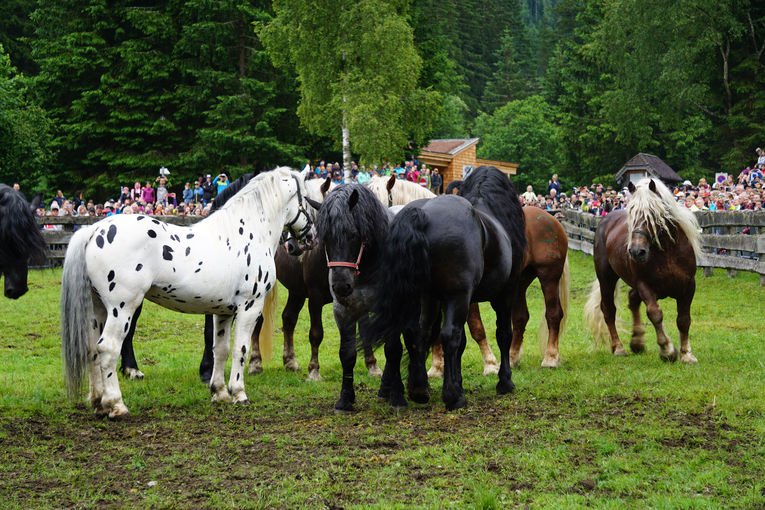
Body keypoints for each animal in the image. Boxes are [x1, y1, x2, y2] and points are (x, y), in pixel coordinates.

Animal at [59, 167, 316, 418]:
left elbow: (220, 350)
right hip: (122, 309)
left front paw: (219, 392)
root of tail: (94, 230)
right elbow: (240, 350)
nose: (310, 238)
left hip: (98, 309)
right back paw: (116, 404)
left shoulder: (223, 312)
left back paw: (98, 403)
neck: (245, 232)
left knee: (92, 349)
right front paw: (239, 393)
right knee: (109, 348)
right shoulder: (249, 307)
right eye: (307, 198)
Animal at [368, 167, 524, 410]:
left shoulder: (461, 299)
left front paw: (457, 381)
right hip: (455, 296)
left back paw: (419, 388)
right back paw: (452, 396)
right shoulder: (504, 293)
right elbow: (503, 334)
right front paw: (504, 381)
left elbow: (462, 342)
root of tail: (421, 214)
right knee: (449, 334)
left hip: (425, 296)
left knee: (420, 332)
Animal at [580, 178, 700, 362]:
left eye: (652, 212)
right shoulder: (644, 285)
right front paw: (667, 349)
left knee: (632, 299)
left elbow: (684, 320)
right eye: (631, 213)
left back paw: (637, 341)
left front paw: (686, 354)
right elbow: (655, 313)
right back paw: (619, 347)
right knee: (609, 309)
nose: (636, 251)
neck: (668, 253)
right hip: (606, 277)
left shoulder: (688, 286)